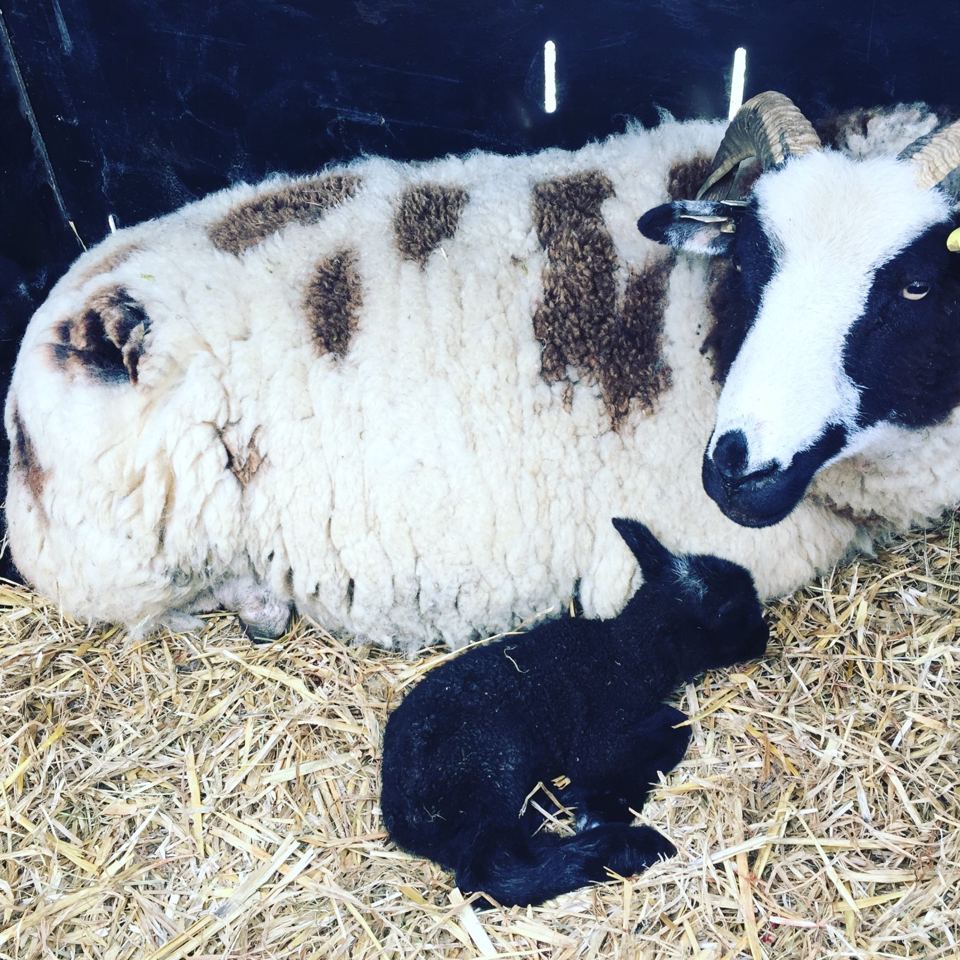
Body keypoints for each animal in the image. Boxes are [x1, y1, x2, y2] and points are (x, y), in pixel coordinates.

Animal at [379, 518, 769, 907]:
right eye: (737, 613)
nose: (765, 639)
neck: (626, 653)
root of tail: (402, 817)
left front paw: (593, 802)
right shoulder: (597, 740)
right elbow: (675, 724)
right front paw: (601, 809)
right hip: (490, 770)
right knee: (490, 872)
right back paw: (630, 848)